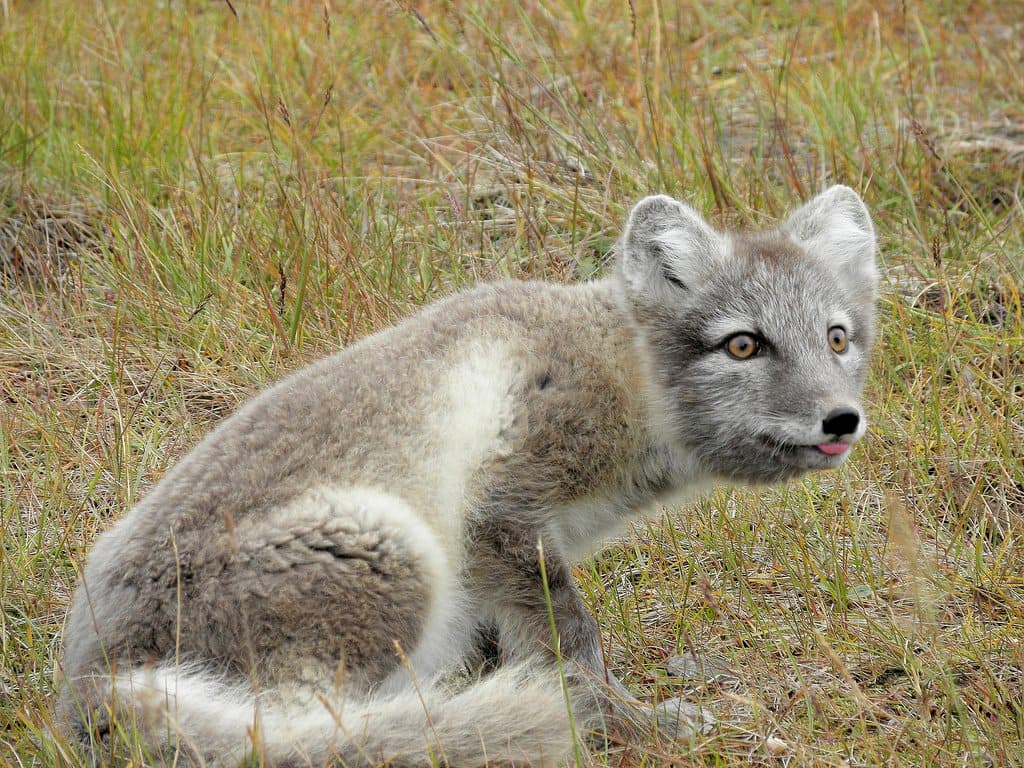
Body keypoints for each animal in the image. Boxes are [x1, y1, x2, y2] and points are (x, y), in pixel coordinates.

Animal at [57, 185, 878, 767]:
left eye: (837, 339)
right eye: (743, 345)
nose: (842, 420)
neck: (619, 370)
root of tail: (90, 688)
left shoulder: (501, 565)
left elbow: (514, 643)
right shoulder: (501, 513)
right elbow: (572, 647)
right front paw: (626, 725)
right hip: (390, 546)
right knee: (302, 734)